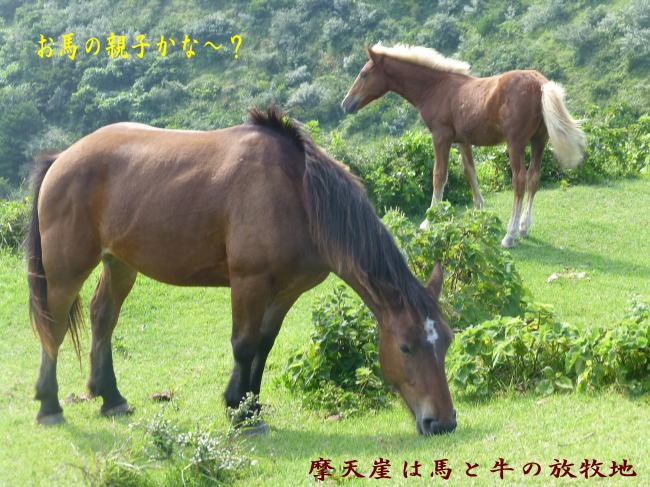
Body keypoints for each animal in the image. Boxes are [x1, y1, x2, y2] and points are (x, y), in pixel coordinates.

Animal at [26, 107, 457, 435]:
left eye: (447, 342)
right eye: (406, 347)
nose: (442, 422)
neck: (298, 193)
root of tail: (61, 158)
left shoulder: (286, 290)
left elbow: (263, 345)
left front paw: (251, 408)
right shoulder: (249, 283)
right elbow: (243, 345)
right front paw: (238, 411)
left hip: (119, 263)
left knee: (103, 317)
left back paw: (111, 397)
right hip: (67, 269)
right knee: (54, 326)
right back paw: (49, 405)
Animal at [341, 44, 586, 247]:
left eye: (364, 74)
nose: (346, 104)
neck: (435, 87)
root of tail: (540, 84)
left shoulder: (441, 136)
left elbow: (439, 175)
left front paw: (428, 220)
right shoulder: (463, 141)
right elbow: (470, 171)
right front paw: (480, 211)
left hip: (515, 143)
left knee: (519, 180)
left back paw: (510, 235)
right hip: (539, 141)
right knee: (534, 178)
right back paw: (524, 227)